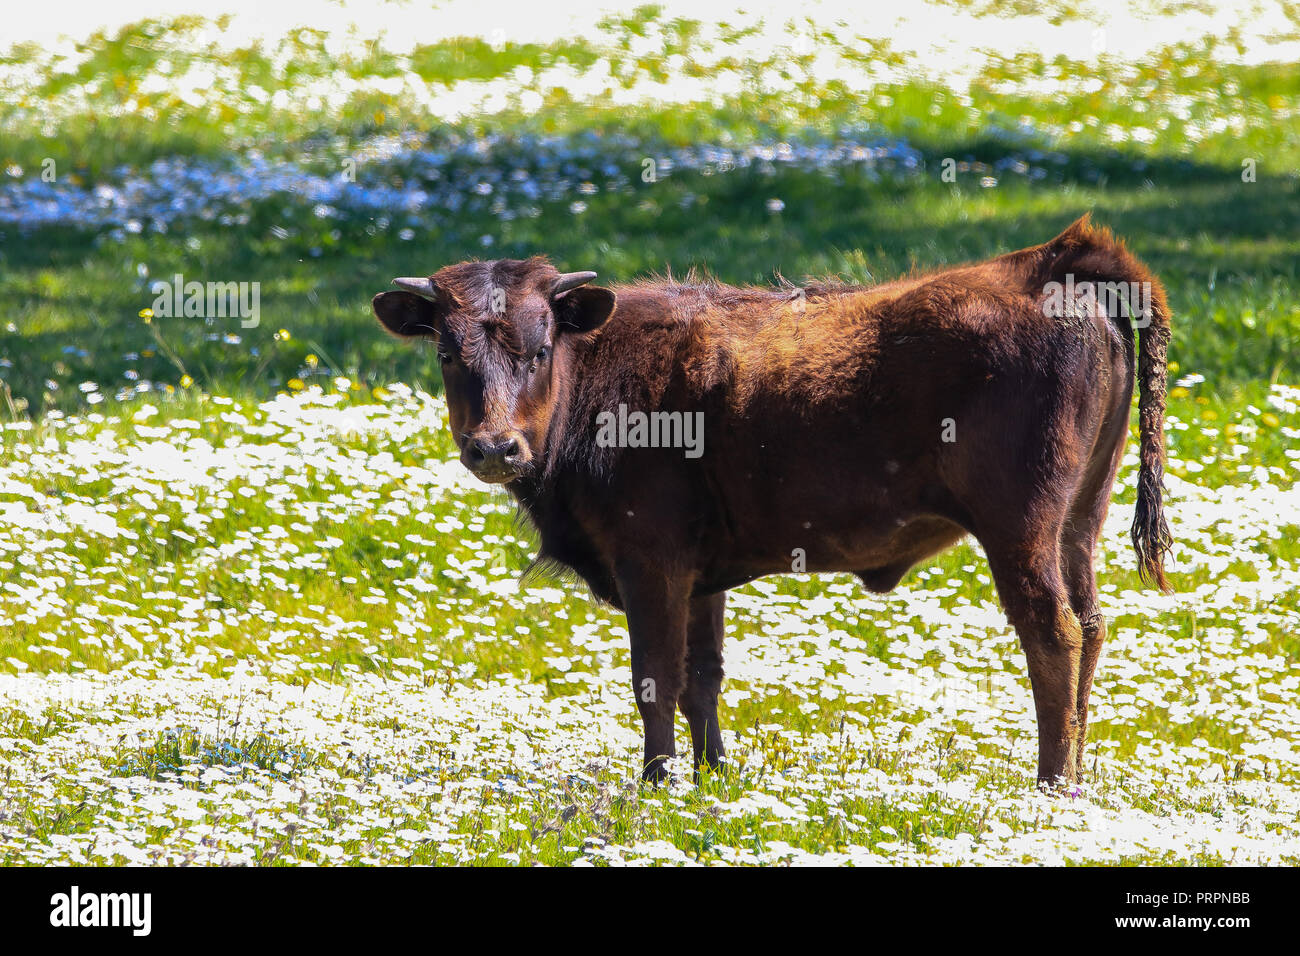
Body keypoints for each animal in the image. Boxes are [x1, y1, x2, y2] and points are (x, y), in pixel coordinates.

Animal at [372, 214, 1173, 788]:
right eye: (447, 352)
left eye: (539, 349)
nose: (495, 447)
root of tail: (1048, 261)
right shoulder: (700, 576)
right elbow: (701, 678)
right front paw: (711, 775)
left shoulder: (650, 561)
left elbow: (654, 677)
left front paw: (657, 783)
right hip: (1077, 525)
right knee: (1091, 626)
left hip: (1021, 533)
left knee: (1054, 634)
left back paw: (1051, 782)